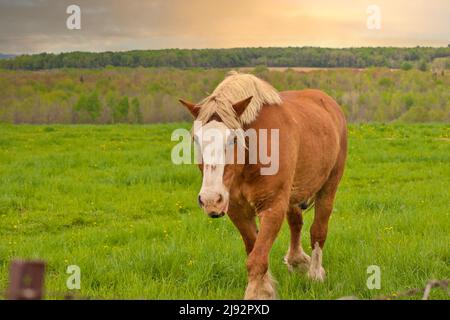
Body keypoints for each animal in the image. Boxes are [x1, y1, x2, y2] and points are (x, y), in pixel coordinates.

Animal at [179, 70, 348, 300]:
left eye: (233, 140)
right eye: (196, 139)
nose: (211, 200)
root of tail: (329, 103)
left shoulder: (272, 206)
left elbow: (257, 258)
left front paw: (257, 293)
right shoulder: (237, 210)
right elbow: (255, 249)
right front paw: (265, 286)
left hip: (328, 187)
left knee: (318, 230)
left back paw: (315, 273)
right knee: (296, 222)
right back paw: (297, 260)